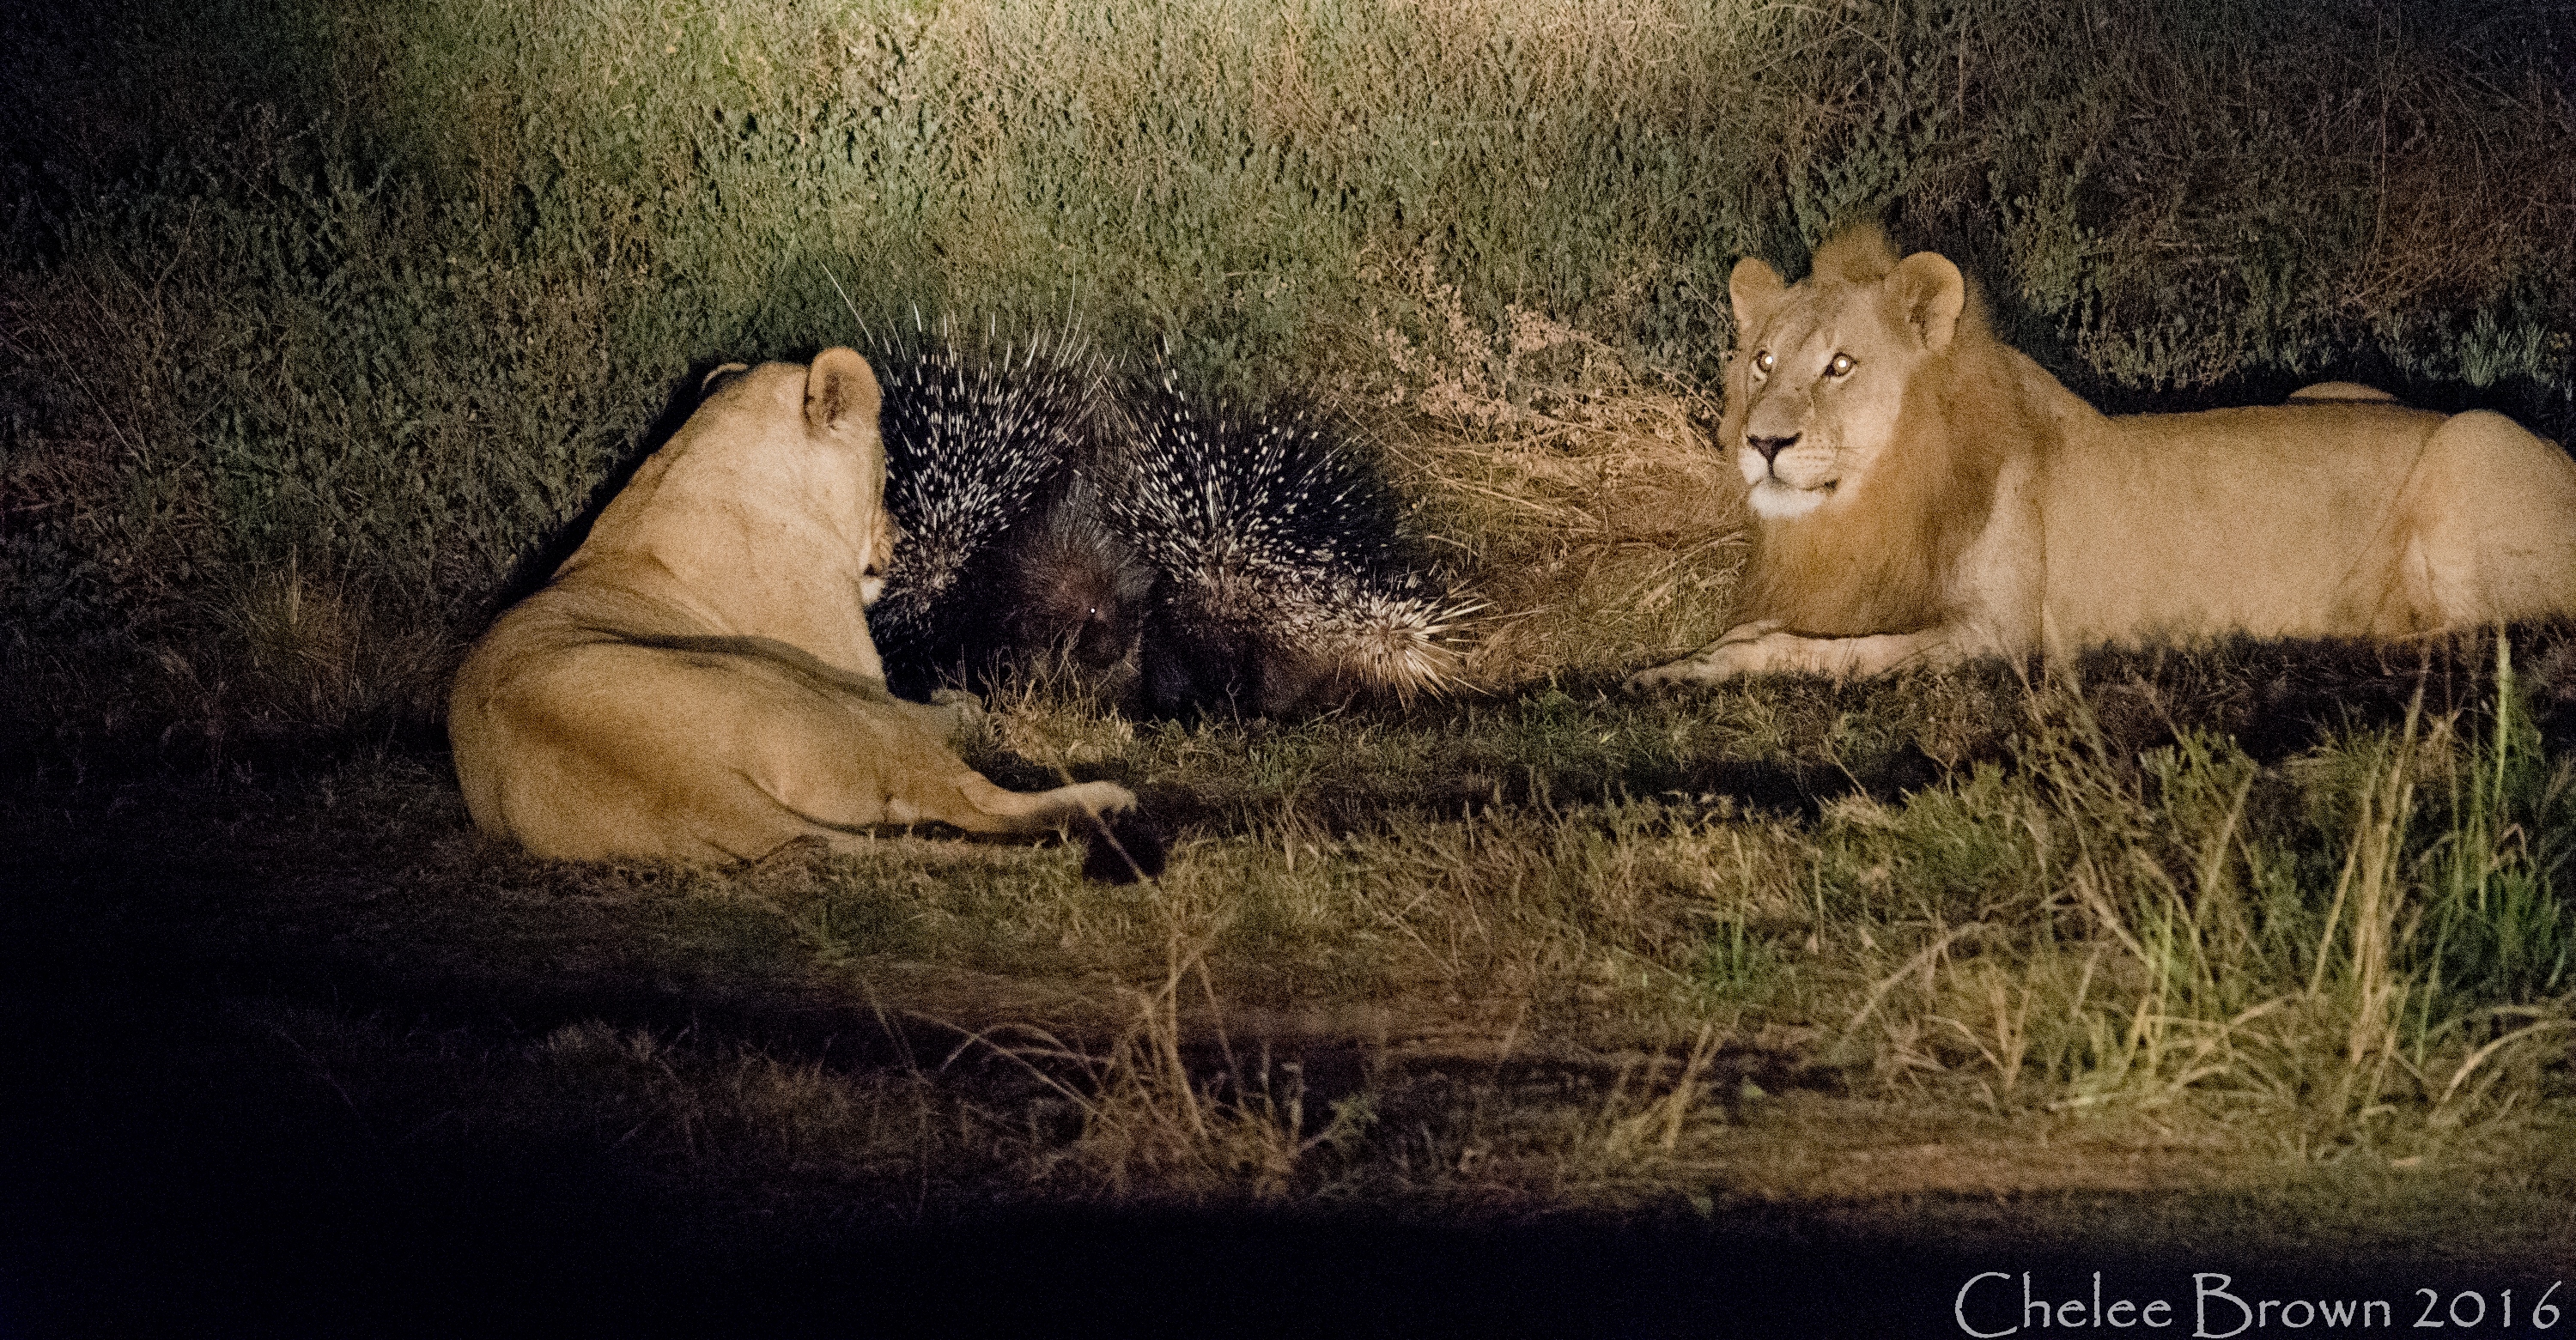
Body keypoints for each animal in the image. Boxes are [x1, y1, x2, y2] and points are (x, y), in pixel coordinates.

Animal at [448, 350, 1144, 865]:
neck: (692, 461)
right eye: (887, 477)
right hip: (826, 696)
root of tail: (704, 793)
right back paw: (1106, 797)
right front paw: (962, 704)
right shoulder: (857, 671)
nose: (899, 538)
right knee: (968, 796)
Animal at [1628, 227, 2576, 685]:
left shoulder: (1996, 637)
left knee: (2483, 629)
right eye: (1762, 362)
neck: (1878, 491)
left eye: (1840, 366)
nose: (1763, 442)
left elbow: (1812, 652)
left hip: (2473, 436)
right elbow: (1776, 628)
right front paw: (1676, 658)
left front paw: (1695, 669)